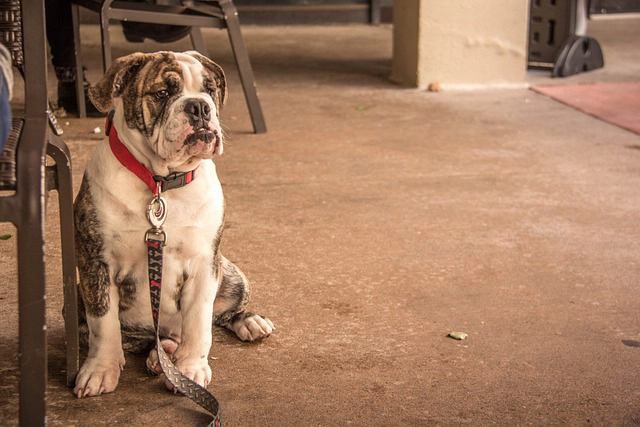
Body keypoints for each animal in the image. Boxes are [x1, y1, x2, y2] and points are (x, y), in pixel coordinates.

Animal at [74, 51, 274, 400]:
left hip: (231, 273)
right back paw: (160, 354)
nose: (199, 106)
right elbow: (103, 324)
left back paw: (248, 323)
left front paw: (190, 370)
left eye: (210, 90)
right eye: (162, 93)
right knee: (141, 339)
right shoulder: (95, 262)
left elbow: (198, 323)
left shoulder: (204, 262)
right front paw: (99, 370)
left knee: (220, 316)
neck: (160, 182)